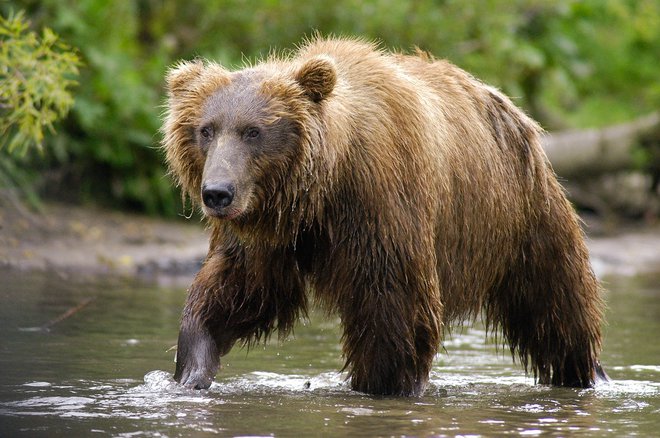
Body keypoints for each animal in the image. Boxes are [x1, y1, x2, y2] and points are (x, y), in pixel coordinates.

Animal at [162, 36, 604, 396]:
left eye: (253, 131)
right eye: (206, 129)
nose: (217, 193)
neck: (322, 189)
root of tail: (512, 108)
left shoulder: (381, 203)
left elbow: (394, 306)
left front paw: (381, 384)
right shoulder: (273, 232)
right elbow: (238, 289)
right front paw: (192, 369)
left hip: (520, 215)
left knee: (555, 302)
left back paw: (585, 372)